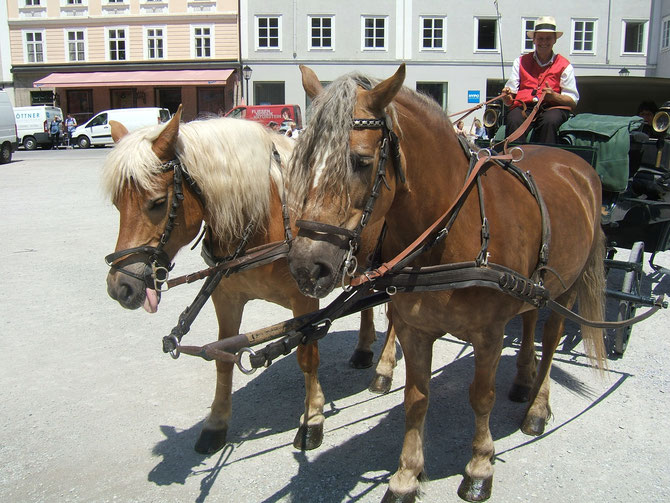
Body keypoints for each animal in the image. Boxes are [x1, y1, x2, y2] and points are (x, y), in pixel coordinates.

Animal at [102, 108, 396, 458]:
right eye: (117, 204)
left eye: (158, 202)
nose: (121, 286)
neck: (267, 218)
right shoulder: (226, 298)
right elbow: (222, 358)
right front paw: (216, 423)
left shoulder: (305, 301)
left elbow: (307, 357)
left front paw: (312, 419)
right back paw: (364, 350)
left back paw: (383, 370)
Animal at [288, 65, 608, 502]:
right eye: (302, 160)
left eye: (361, 161)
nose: (307, 266)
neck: (453, 228)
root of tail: (574, 163)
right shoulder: (415, 330)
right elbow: (416, 398)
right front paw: (406, 475)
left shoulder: (489, 335)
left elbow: (481, 397)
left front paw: (479, 467)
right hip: (533, 288)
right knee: (529, 323)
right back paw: (523, 380)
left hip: (568, 290)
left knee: (551, 339)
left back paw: (537, 408)